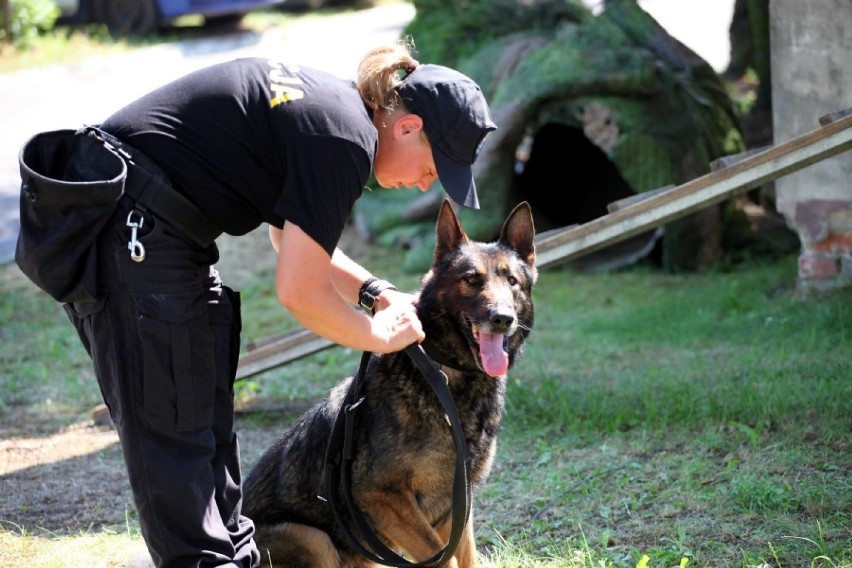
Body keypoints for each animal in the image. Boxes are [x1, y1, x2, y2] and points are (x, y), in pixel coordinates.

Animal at [243, 200, 536, 568]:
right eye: (472, 279)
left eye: (512, 281)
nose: (502, 319)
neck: (446, 377)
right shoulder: (381, 497)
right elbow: (446, 561)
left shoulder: (456, 509)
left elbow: (467, 559)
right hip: (312, 538)